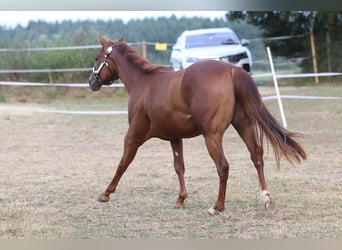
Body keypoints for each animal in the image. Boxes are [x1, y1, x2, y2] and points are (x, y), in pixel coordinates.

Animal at [88, 34, 308, 215]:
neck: (144, 83)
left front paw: (105, 194)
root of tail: (232, 70)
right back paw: (266, 199)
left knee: (223, 166)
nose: (92, 82)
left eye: (97, 58)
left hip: (212, 136)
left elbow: (122, 164)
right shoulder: (175, 137)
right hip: (244, 126)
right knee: (257, 156)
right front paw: (181, 199)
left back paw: (217, 207)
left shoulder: (133, 136)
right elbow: (179, 167)